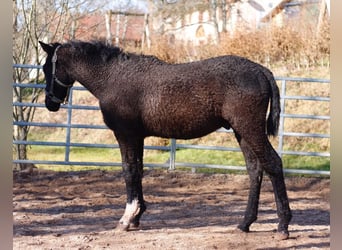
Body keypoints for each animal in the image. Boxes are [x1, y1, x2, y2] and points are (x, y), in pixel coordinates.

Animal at [39, 40, 292, 239]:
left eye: (46, 67)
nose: (50, 103)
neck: (113, 77)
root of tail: (261, 71)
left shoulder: (126, 135)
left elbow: (129, 171)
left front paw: (127, 218)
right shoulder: (137, 137)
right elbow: (138, 171)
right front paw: (137, 216)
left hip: (250, 129)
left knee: (273, 164)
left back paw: (283, 225)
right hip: (242, 132)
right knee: (255, 169)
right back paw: (245, 223)